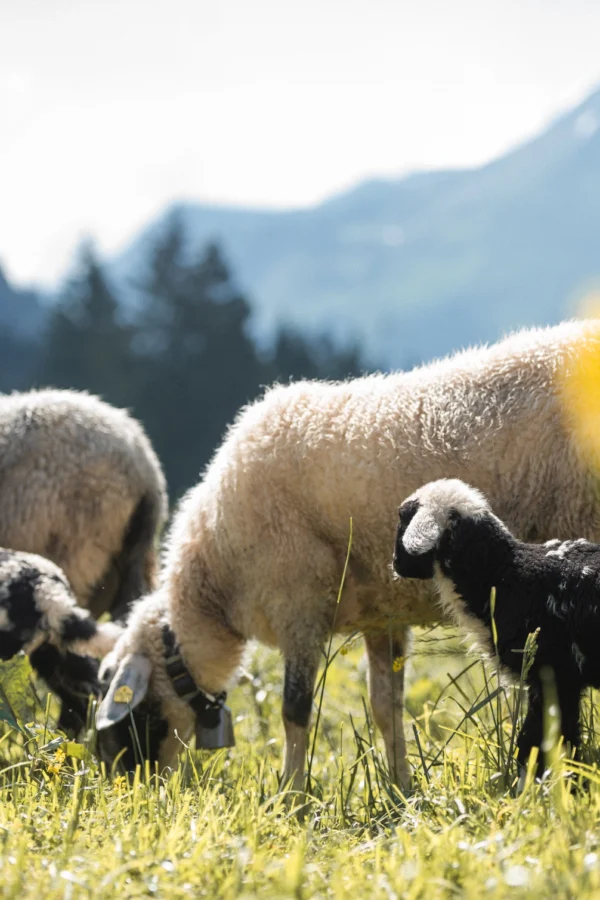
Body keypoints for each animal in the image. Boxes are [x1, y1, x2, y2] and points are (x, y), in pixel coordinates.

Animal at [392, 478, 600, 780]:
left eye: (403, 518)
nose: (395, 563)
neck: (504, 573)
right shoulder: (563, 678)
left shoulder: (552, 671)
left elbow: (541, 737)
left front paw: (535, 780)